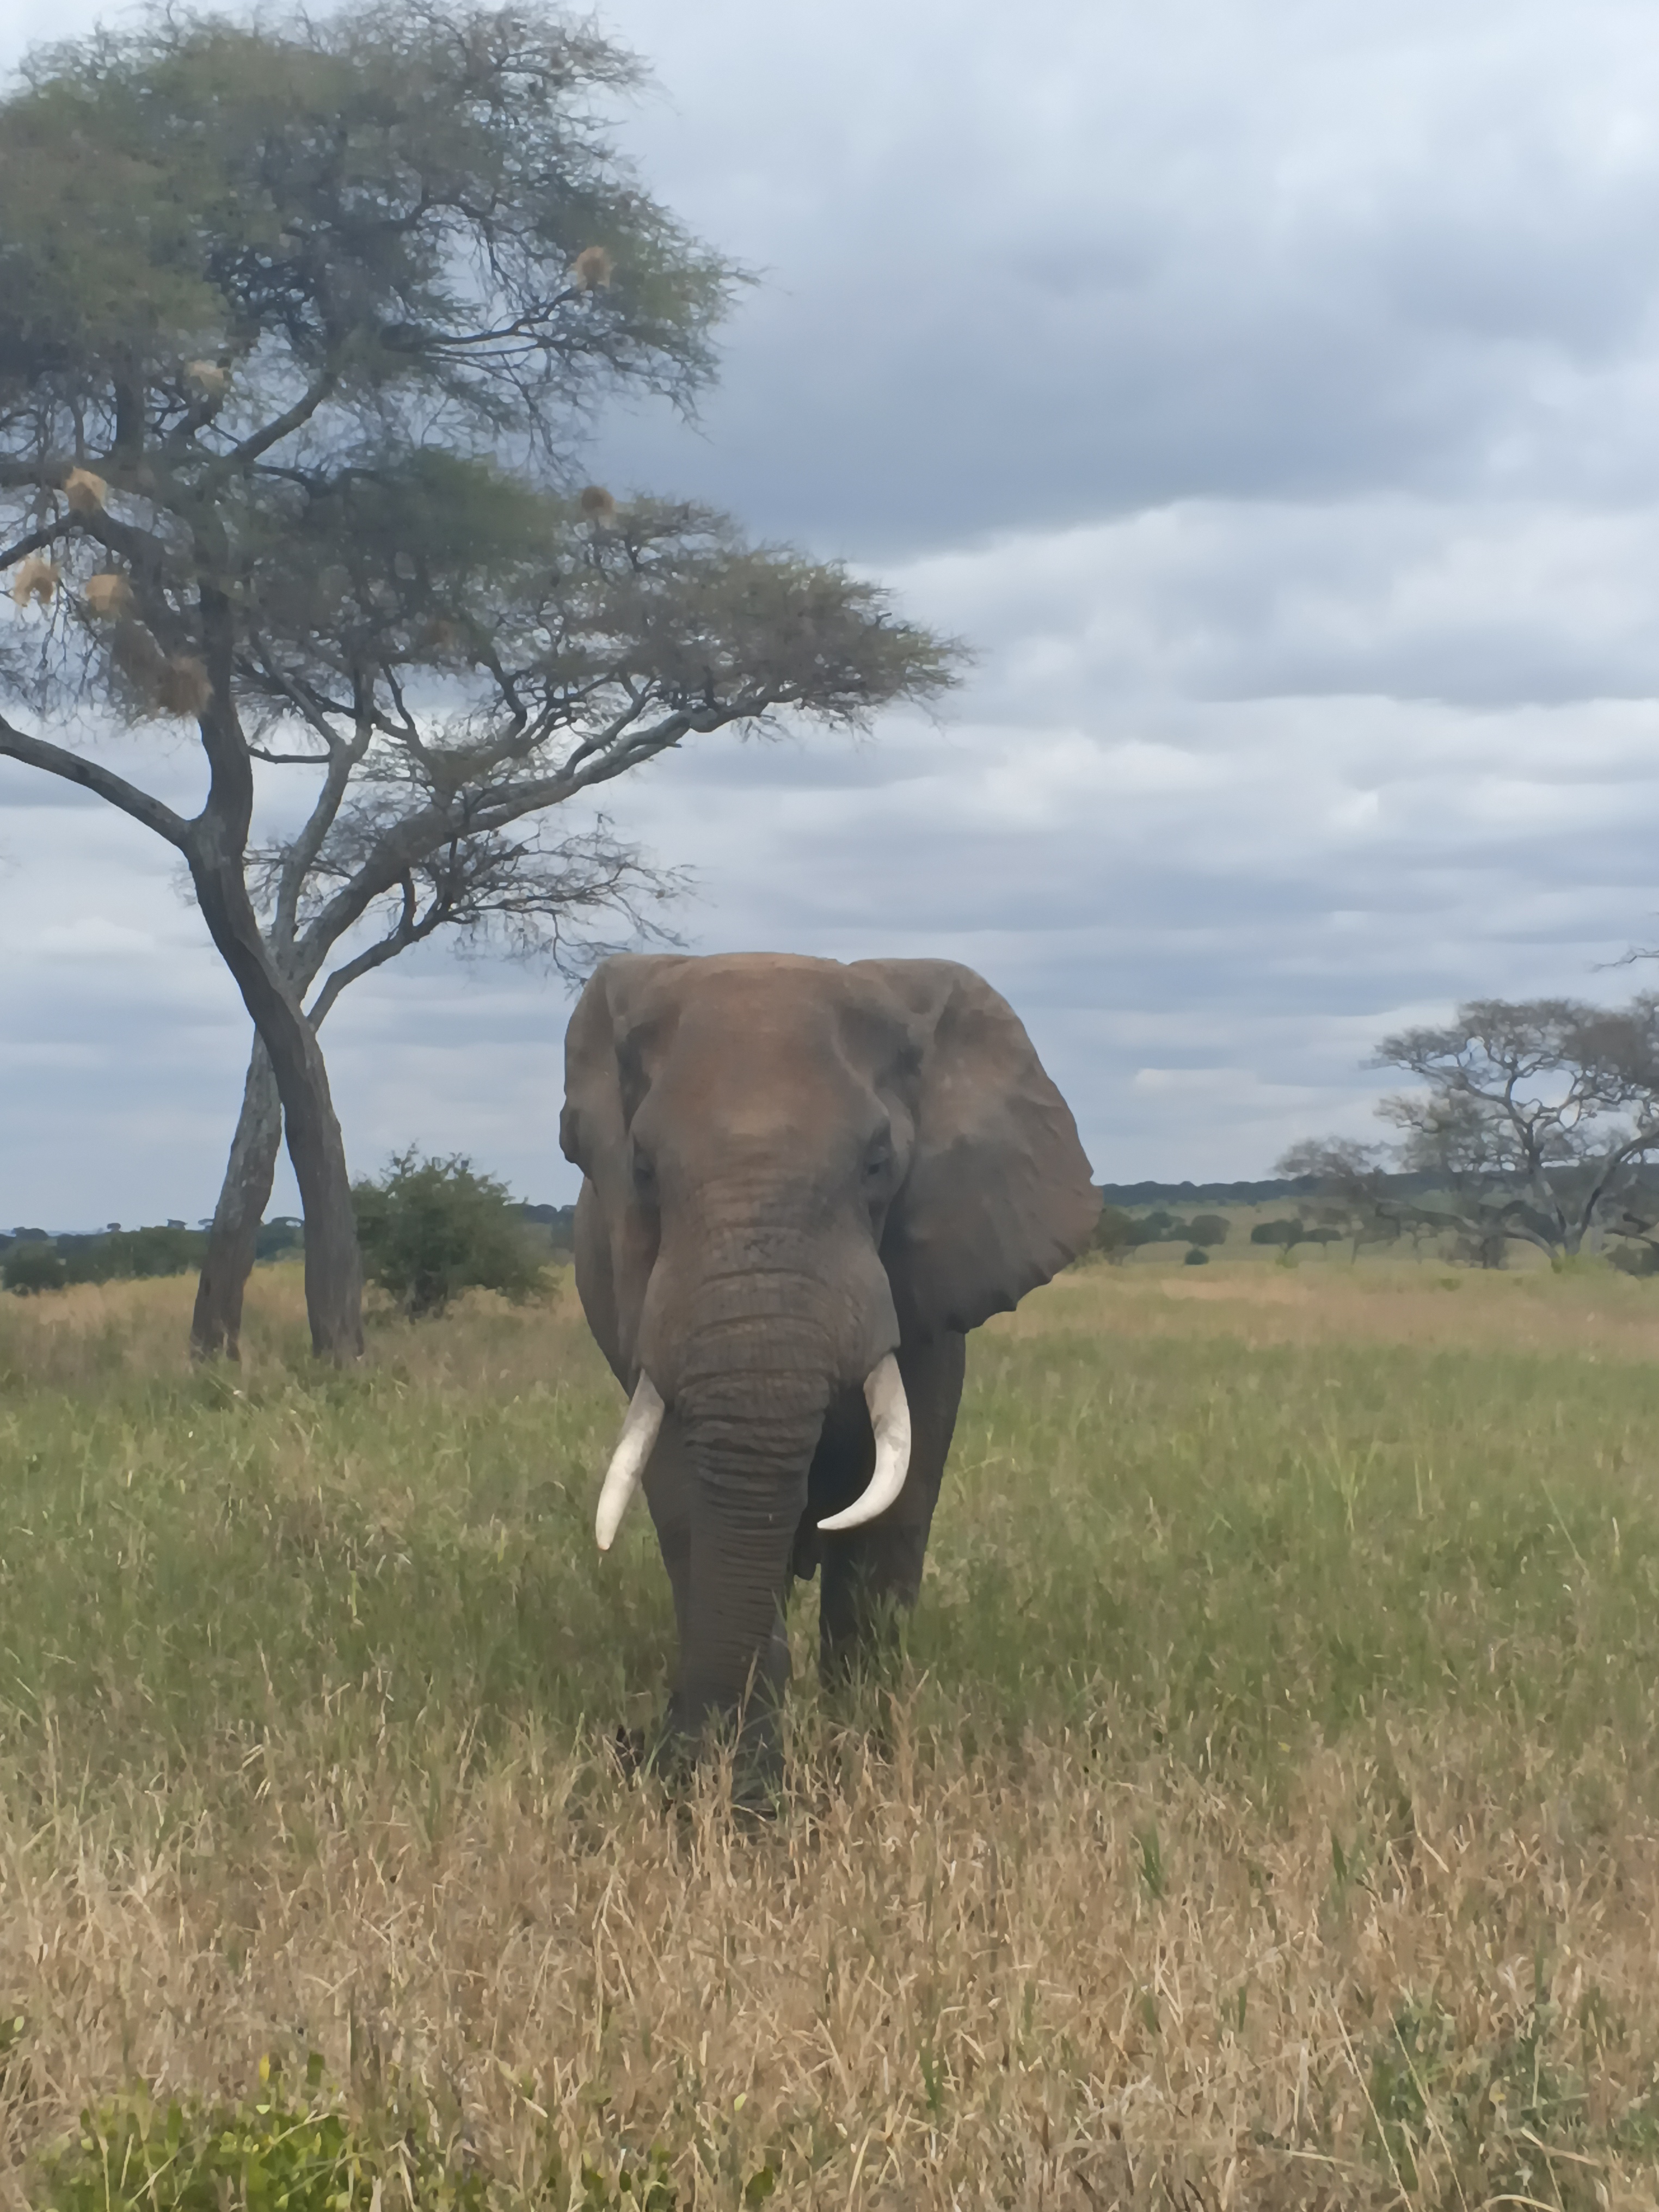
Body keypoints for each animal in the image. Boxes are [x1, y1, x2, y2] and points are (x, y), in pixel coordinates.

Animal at [559, 951, 1098, 1786]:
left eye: (879, 1164)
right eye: (642, 1168)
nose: (639, 1746)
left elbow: (891, 1521)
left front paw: (863, 1758)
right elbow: (690, 1506)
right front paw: (726, 1784)